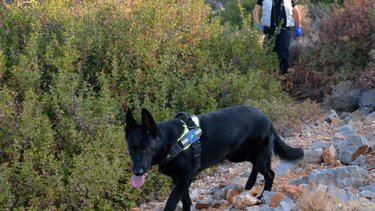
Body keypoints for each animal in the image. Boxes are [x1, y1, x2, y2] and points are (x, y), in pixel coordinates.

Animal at [126, 104, 306, 210]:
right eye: (131, 150)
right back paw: (249, 183)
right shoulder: (179, 179)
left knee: (270, 173)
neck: (168, 141)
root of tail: (267, 119)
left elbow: (172, 201)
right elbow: (186, 200)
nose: (138, 172)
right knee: (256, 165)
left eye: (147, 149)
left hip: (255, 154)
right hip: (238, 154)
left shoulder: (186, 176)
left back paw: (263, 196)